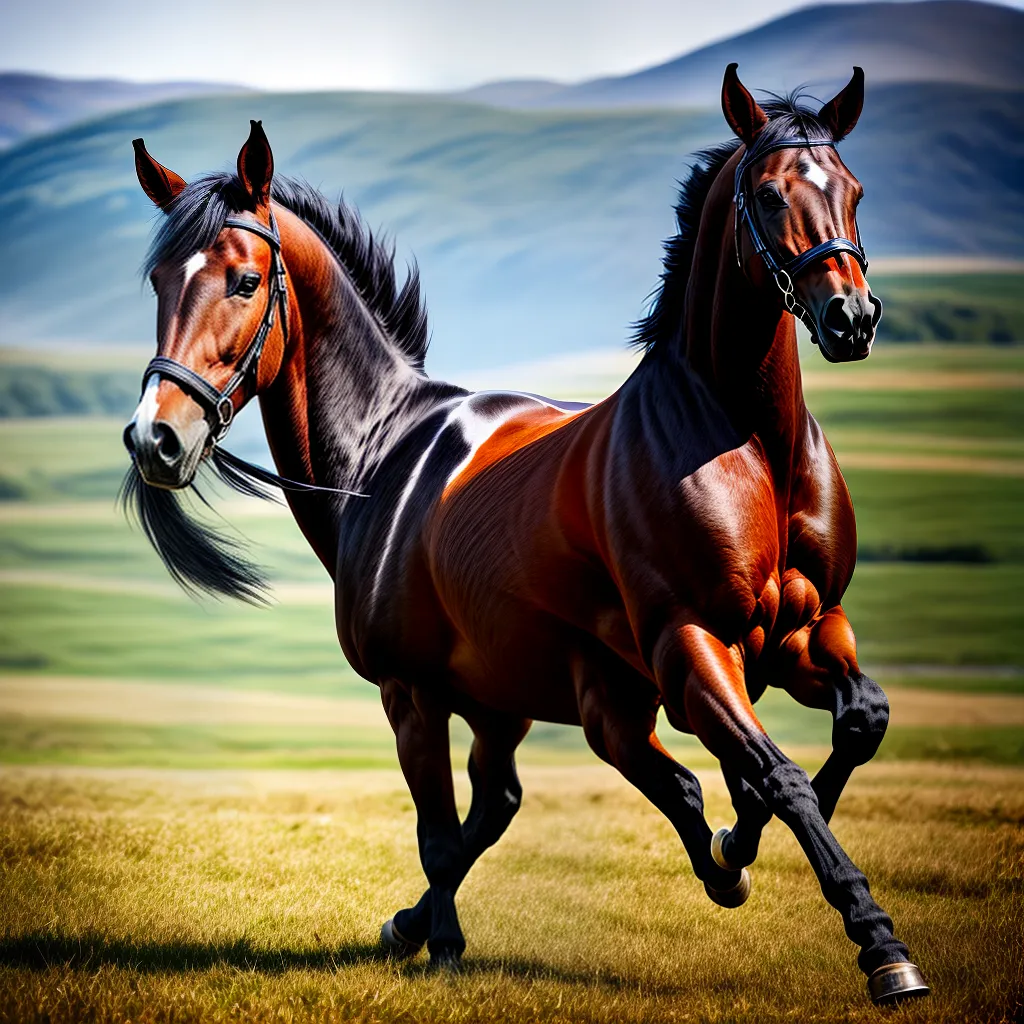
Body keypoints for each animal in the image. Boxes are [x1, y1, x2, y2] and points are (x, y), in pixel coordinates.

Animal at [121, 63, 928, 1005]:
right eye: (767, 197)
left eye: (854, 190)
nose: (156, 436)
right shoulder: (619, 661)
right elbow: (467, 827)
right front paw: (435, 941)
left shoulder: (800, 630)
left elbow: (850, 729)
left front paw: (862, 928)